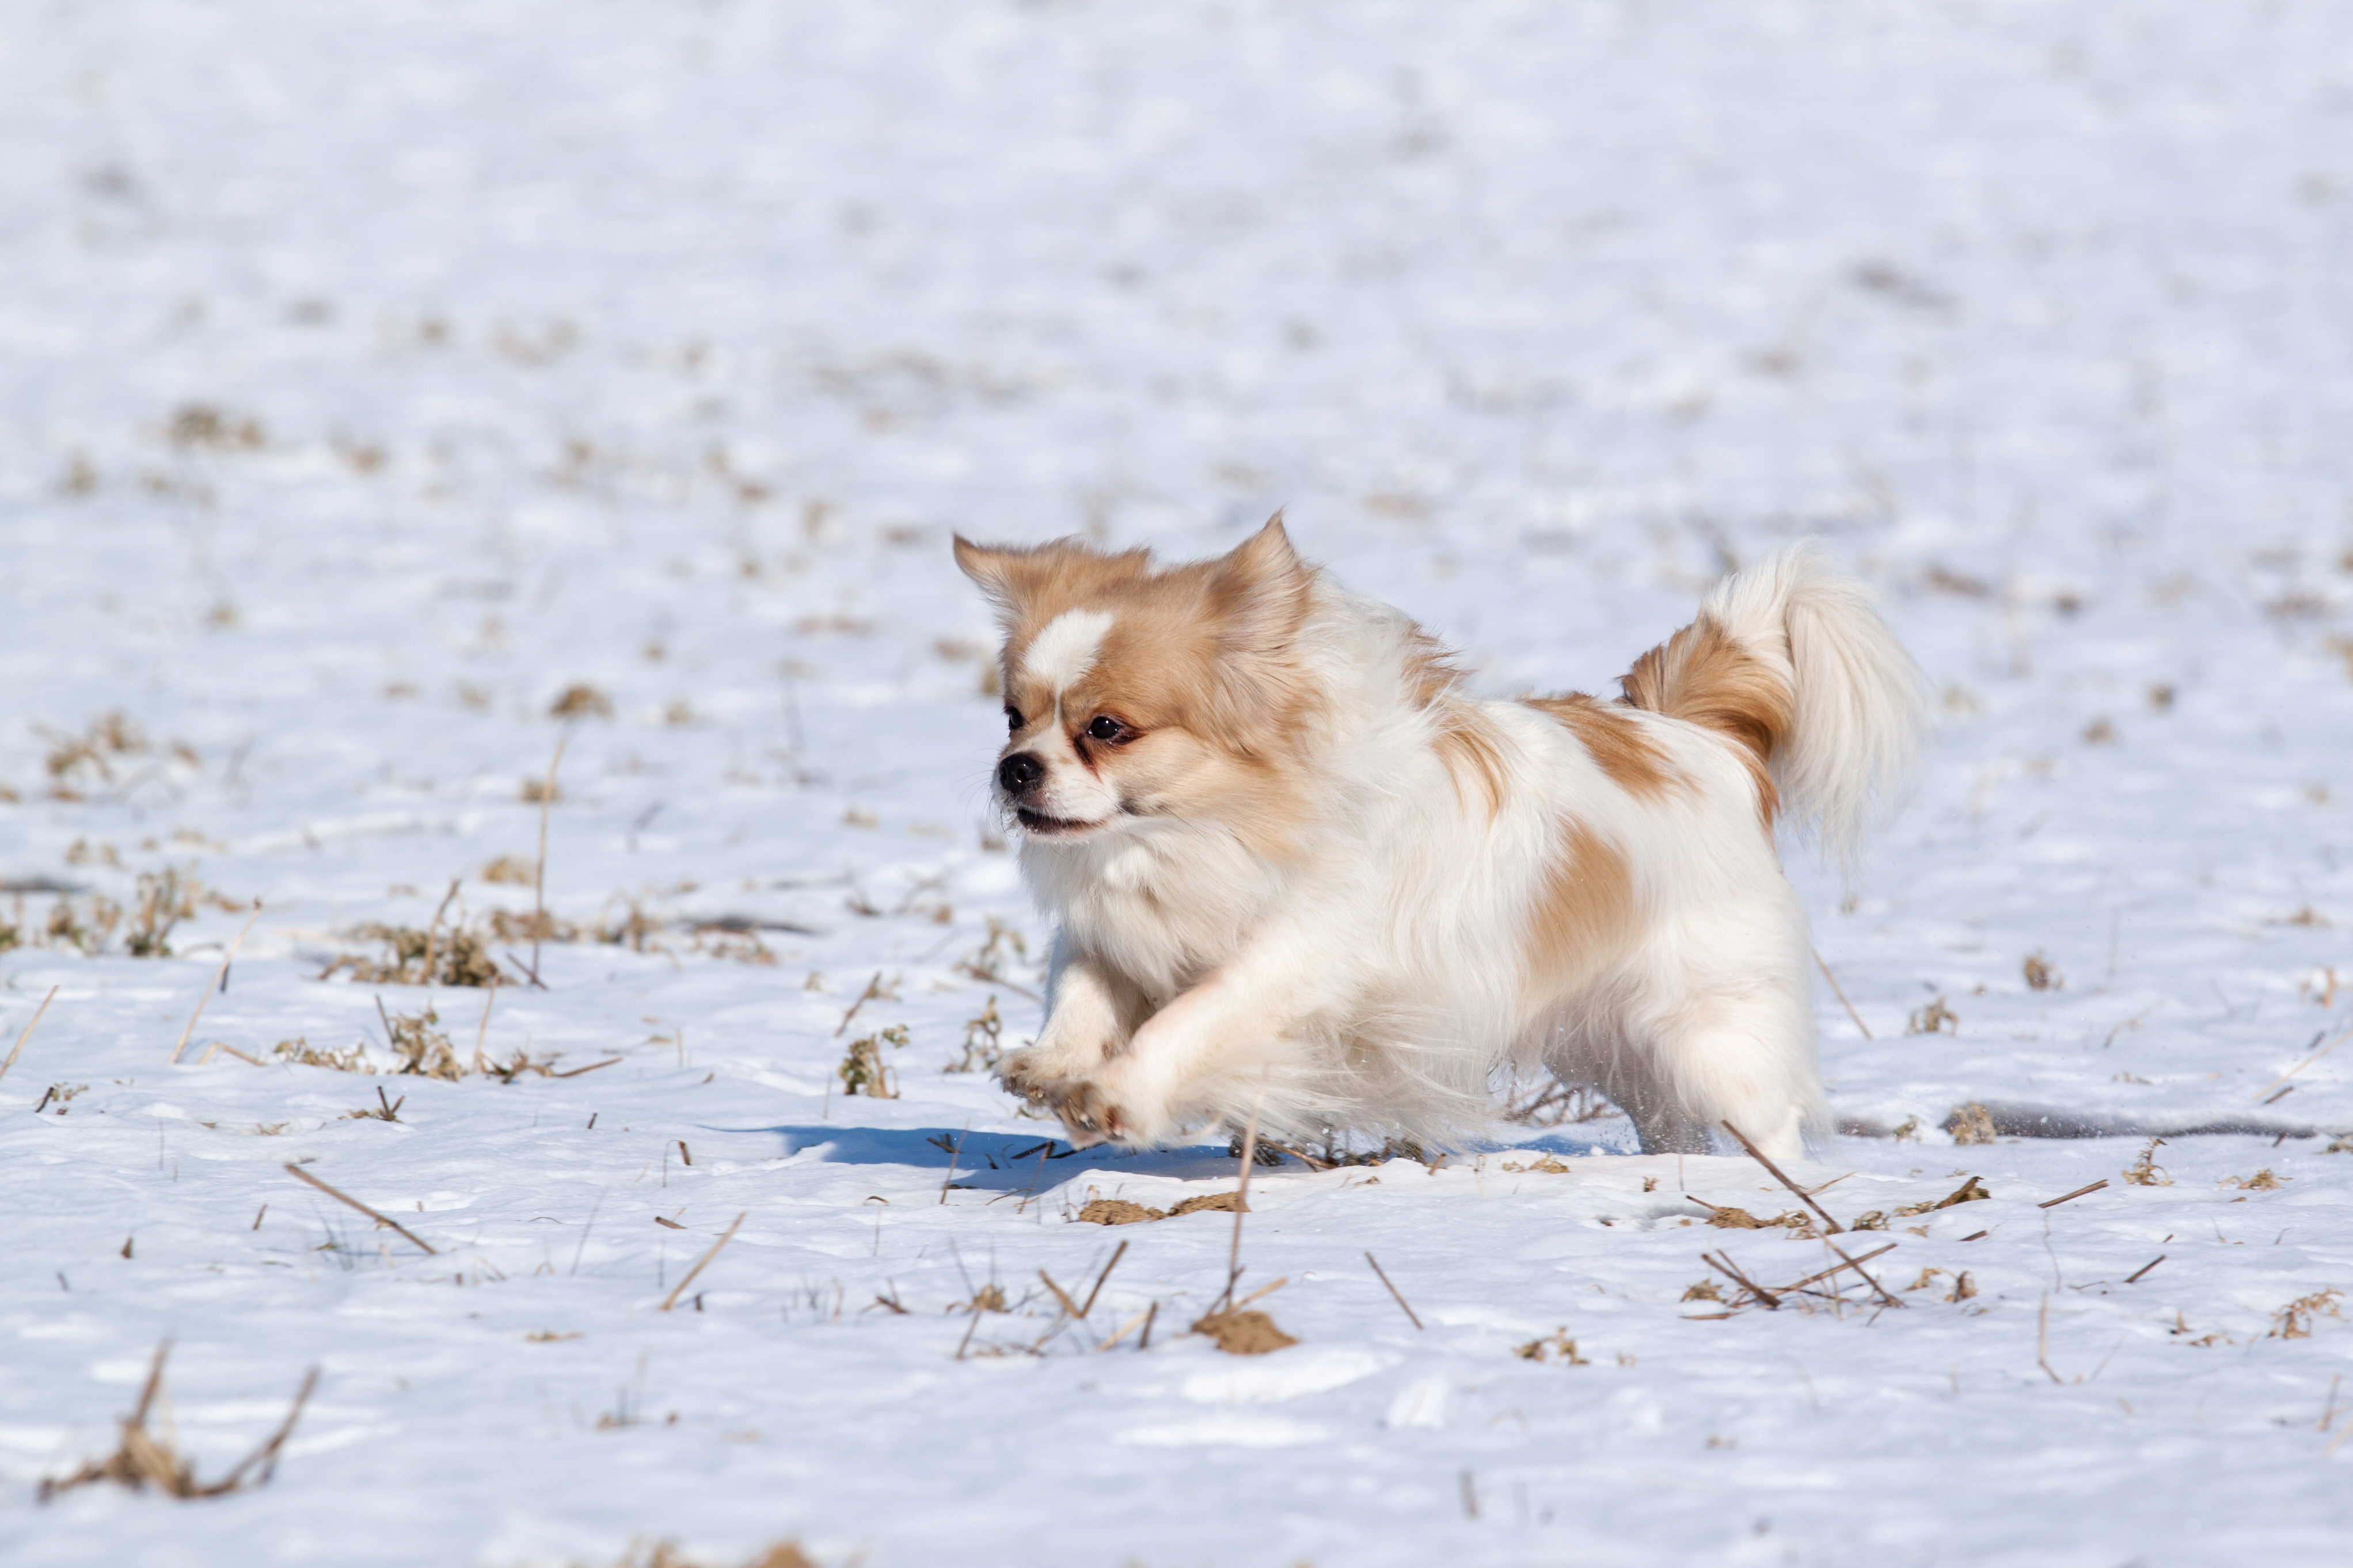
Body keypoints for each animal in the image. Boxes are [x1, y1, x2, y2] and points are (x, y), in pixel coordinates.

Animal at [945, 522, 1919, 1161]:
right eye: (1012, 719)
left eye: (1106, 729)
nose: (1015, 770)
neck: (1196, 835)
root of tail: (1695, 740)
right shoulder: (1114, 927)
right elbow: (1078, 983)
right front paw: (1053, 1065)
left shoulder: (1292, 961)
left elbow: (1192, 1018)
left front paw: (1116, 1095)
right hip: (1614, 1043)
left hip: (1710, 1037)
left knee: (1766, 1121)